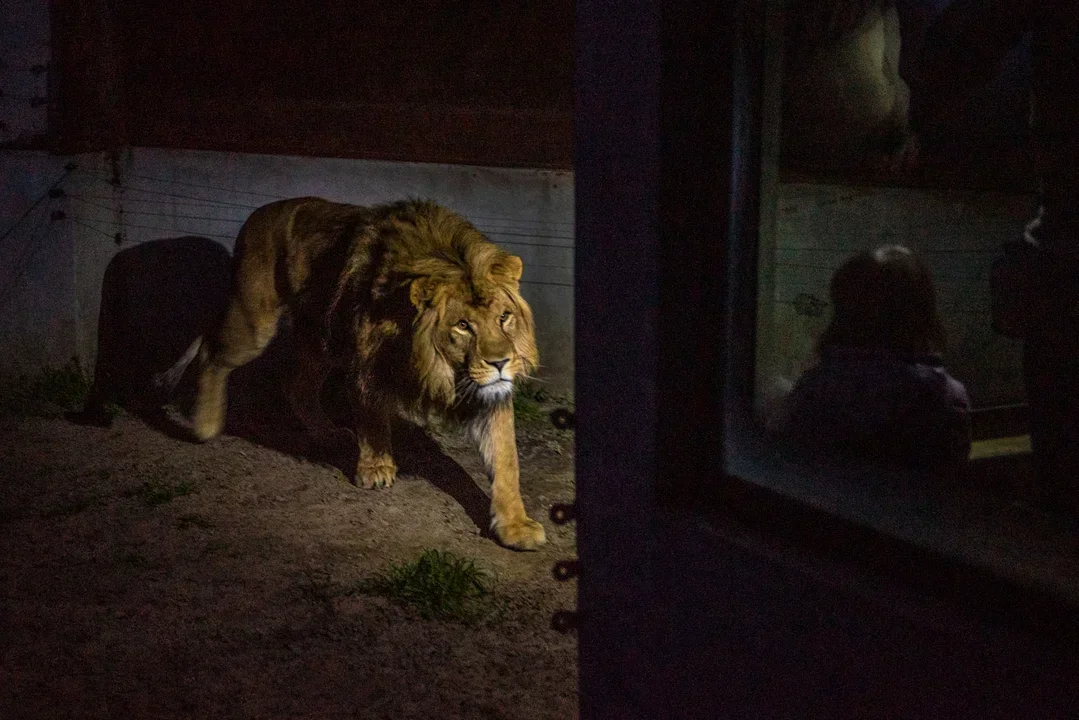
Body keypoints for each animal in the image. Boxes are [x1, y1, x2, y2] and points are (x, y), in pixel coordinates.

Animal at [157, 197, 548, 552]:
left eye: (504, 317)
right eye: (463, 326)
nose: (501, 362)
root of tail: (258, 213)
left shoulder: (491, 392)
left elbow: (506, 460)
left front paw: (515, 526)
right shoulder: (367, 359)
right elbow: (372, 418)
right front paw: (376, 469)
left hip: (319, 339)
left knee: (296, 386)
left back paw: (328, 433)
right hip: (255, 321)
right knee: (210, 352)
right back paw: (204, 427)